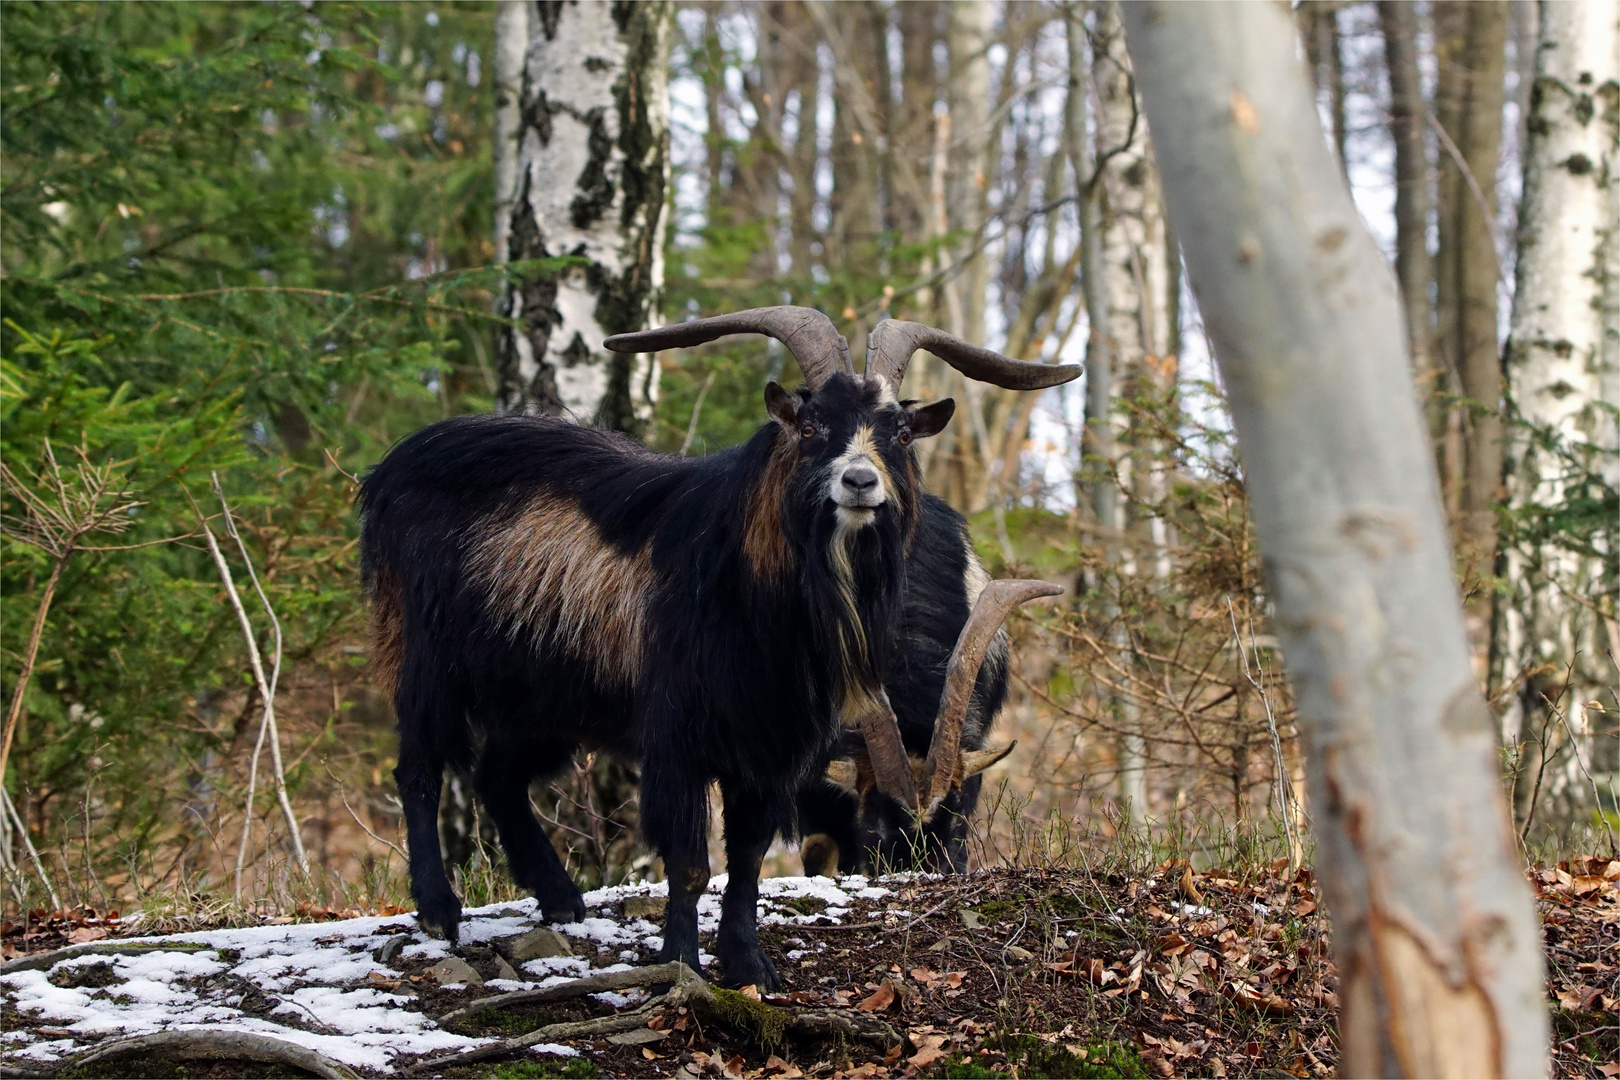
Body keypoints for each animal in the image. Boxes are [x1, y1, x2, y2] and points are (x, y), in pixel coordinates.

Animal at [361, 307, 1082, 990]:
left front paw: (749, 968)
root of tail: (396, 462)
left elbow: (748, 860)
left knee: (497, 773)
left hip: (543, 696)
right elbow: (688, 860)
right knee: (420, 767)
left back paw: (561, 898)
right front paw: (681, 965)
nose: (858, 482)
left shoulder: (769, 746)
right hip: (428, 659)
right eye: (809, 426)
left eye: (899, 431)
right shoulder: (676, 736)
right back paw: (438, 910)